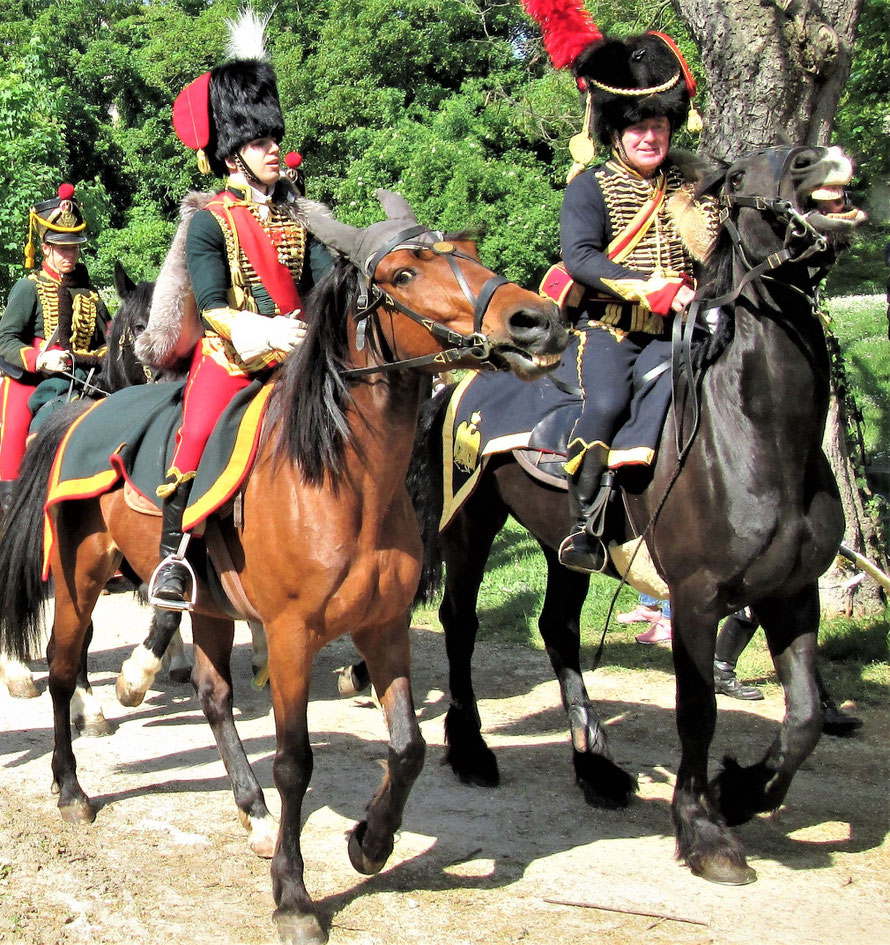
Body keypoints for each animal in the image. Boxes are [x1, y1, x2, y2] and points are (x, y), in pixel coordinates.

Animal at [0, 192, 564, 944]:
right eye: (405, 273)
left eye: (471, 254)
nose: (537, 320)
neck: (341, 477)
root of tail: (79, 415)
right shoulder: (295, 635)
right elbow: (296, 761)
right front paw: (294, 896)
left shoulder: (383, 627)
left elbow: (408, 747)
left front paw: (369, 841)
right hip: (78, 578)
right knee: (64, 672)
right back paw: (70, 785)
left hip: (206, 603)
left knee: (213, 696)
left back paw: (252, 810)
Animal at [346, 146, 860, 884]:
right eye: (738, 179)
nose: (820, 158)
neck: (757, 435)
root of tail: (460, 382)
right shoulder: (697, 599)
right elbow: (697, 711)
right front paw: (703, 829)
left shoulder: (792, 593)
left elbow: (807, 716)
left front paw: (741, 793)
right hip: (471, 525)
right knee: (460, 622)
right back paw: (472, 750)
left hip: (562, 541)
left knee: (558, 629)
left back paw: (594, 765)